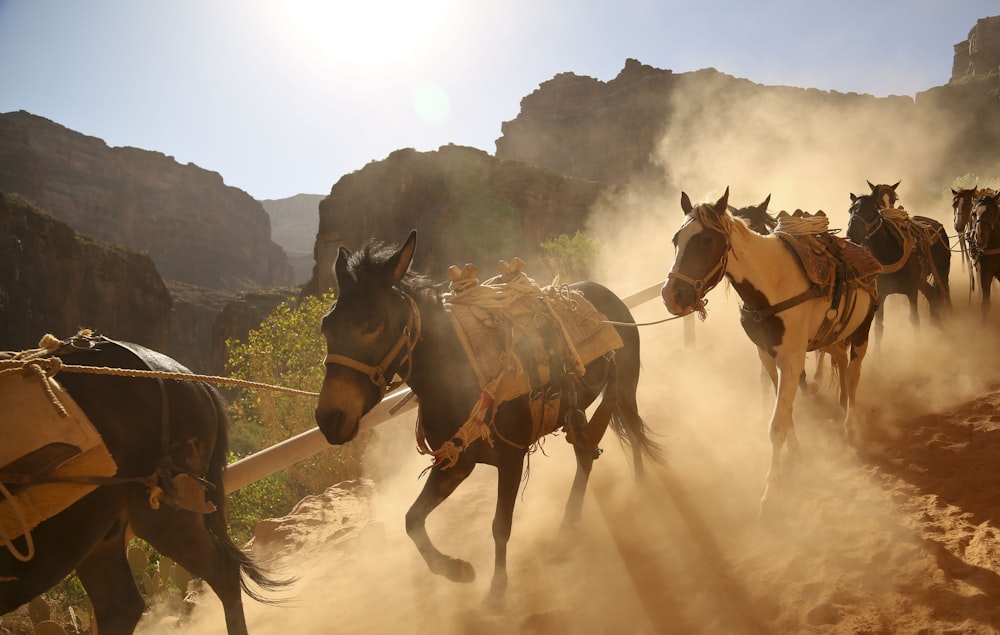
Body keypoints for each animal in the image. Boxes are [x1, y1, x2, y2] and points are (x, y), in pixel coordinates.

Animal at [312, 232, 656, 608]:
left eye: (373, 324)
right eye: (326, 327)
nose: (329, 419)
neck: (456, 376)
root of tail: (607, 295)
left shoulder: (511, 457)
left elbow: (500, 525)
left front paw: (497, 590)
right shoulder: (456, 463)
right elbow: (412, 519)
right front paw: (457, 570)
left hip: (624, 386)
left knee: (629, 432)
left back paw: (637, 487)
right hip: (575, 413)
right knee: (587, 451)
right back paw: (570, 520)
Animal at [660, 189, 880, 516]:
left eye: (706, 240)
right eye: (677, 239)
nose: (671, 295)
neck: (772, 285)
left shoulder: (791, 359)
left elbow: (777, 424)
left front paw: (771, 491)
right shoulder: (766, 355)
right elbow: (785, 412)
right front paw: (796, 452)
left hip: (862, 332)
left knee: (854, 375)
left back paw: (850, 425)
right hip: (829, 336)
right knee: (840, 361)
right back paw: (840, 404)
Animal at [848, 190, 948, 348]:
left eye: (871, 210)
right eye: (851, 210)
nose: (851, 232)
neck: (889, 253)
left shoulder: (911, 291)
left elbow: (914, 319)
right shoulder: (881, 294)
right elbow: (878, 326)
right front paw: (877, 354)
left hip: (942, 272)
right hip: (921, 281)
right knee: (932, 295)